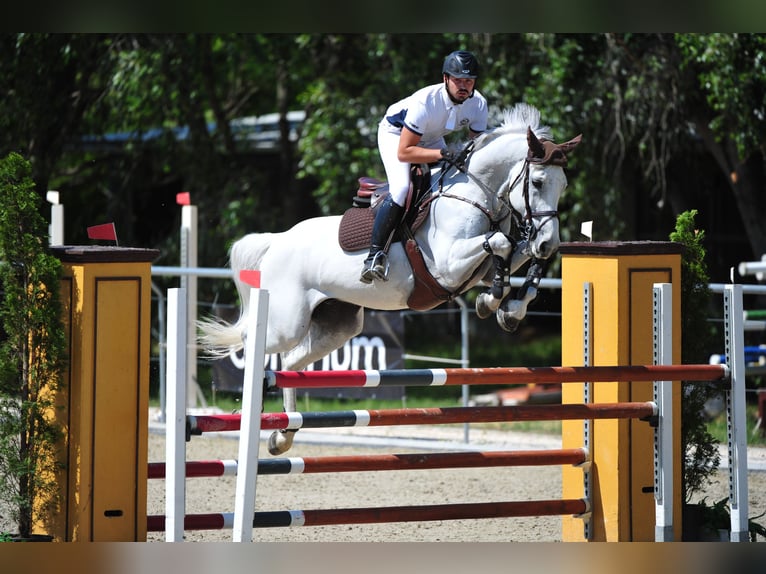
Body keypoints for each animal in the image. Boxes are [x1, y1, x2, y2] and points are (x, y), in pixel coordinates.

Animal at [198, 102, 584, 454]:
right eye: (537, 182)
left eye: (564, 185)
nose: (549, 241)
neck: (475, 195)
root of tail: (278, 240)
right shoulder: (448, 265)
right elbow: (502, 242)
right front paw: (494, 302)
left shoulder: (482, 268)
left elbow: (518, 255)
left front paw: (508, 308)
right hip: (286, 320)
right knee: (255, 342)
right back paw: (255, 409)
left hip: (337, 324)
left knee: (292, 363)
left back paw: (283, 435)